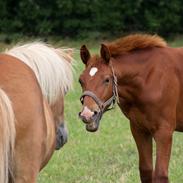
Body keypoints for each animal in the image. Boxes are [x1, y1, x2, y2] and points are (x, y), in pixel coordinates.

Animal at [78, 34, 183, 182]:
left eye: (107, 80)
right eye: (80, 80)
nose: (87, 114)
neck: (149, 78)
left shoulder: (164, 131)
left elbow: (160, 175)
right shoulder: (139, 129)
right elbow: (145, 170)